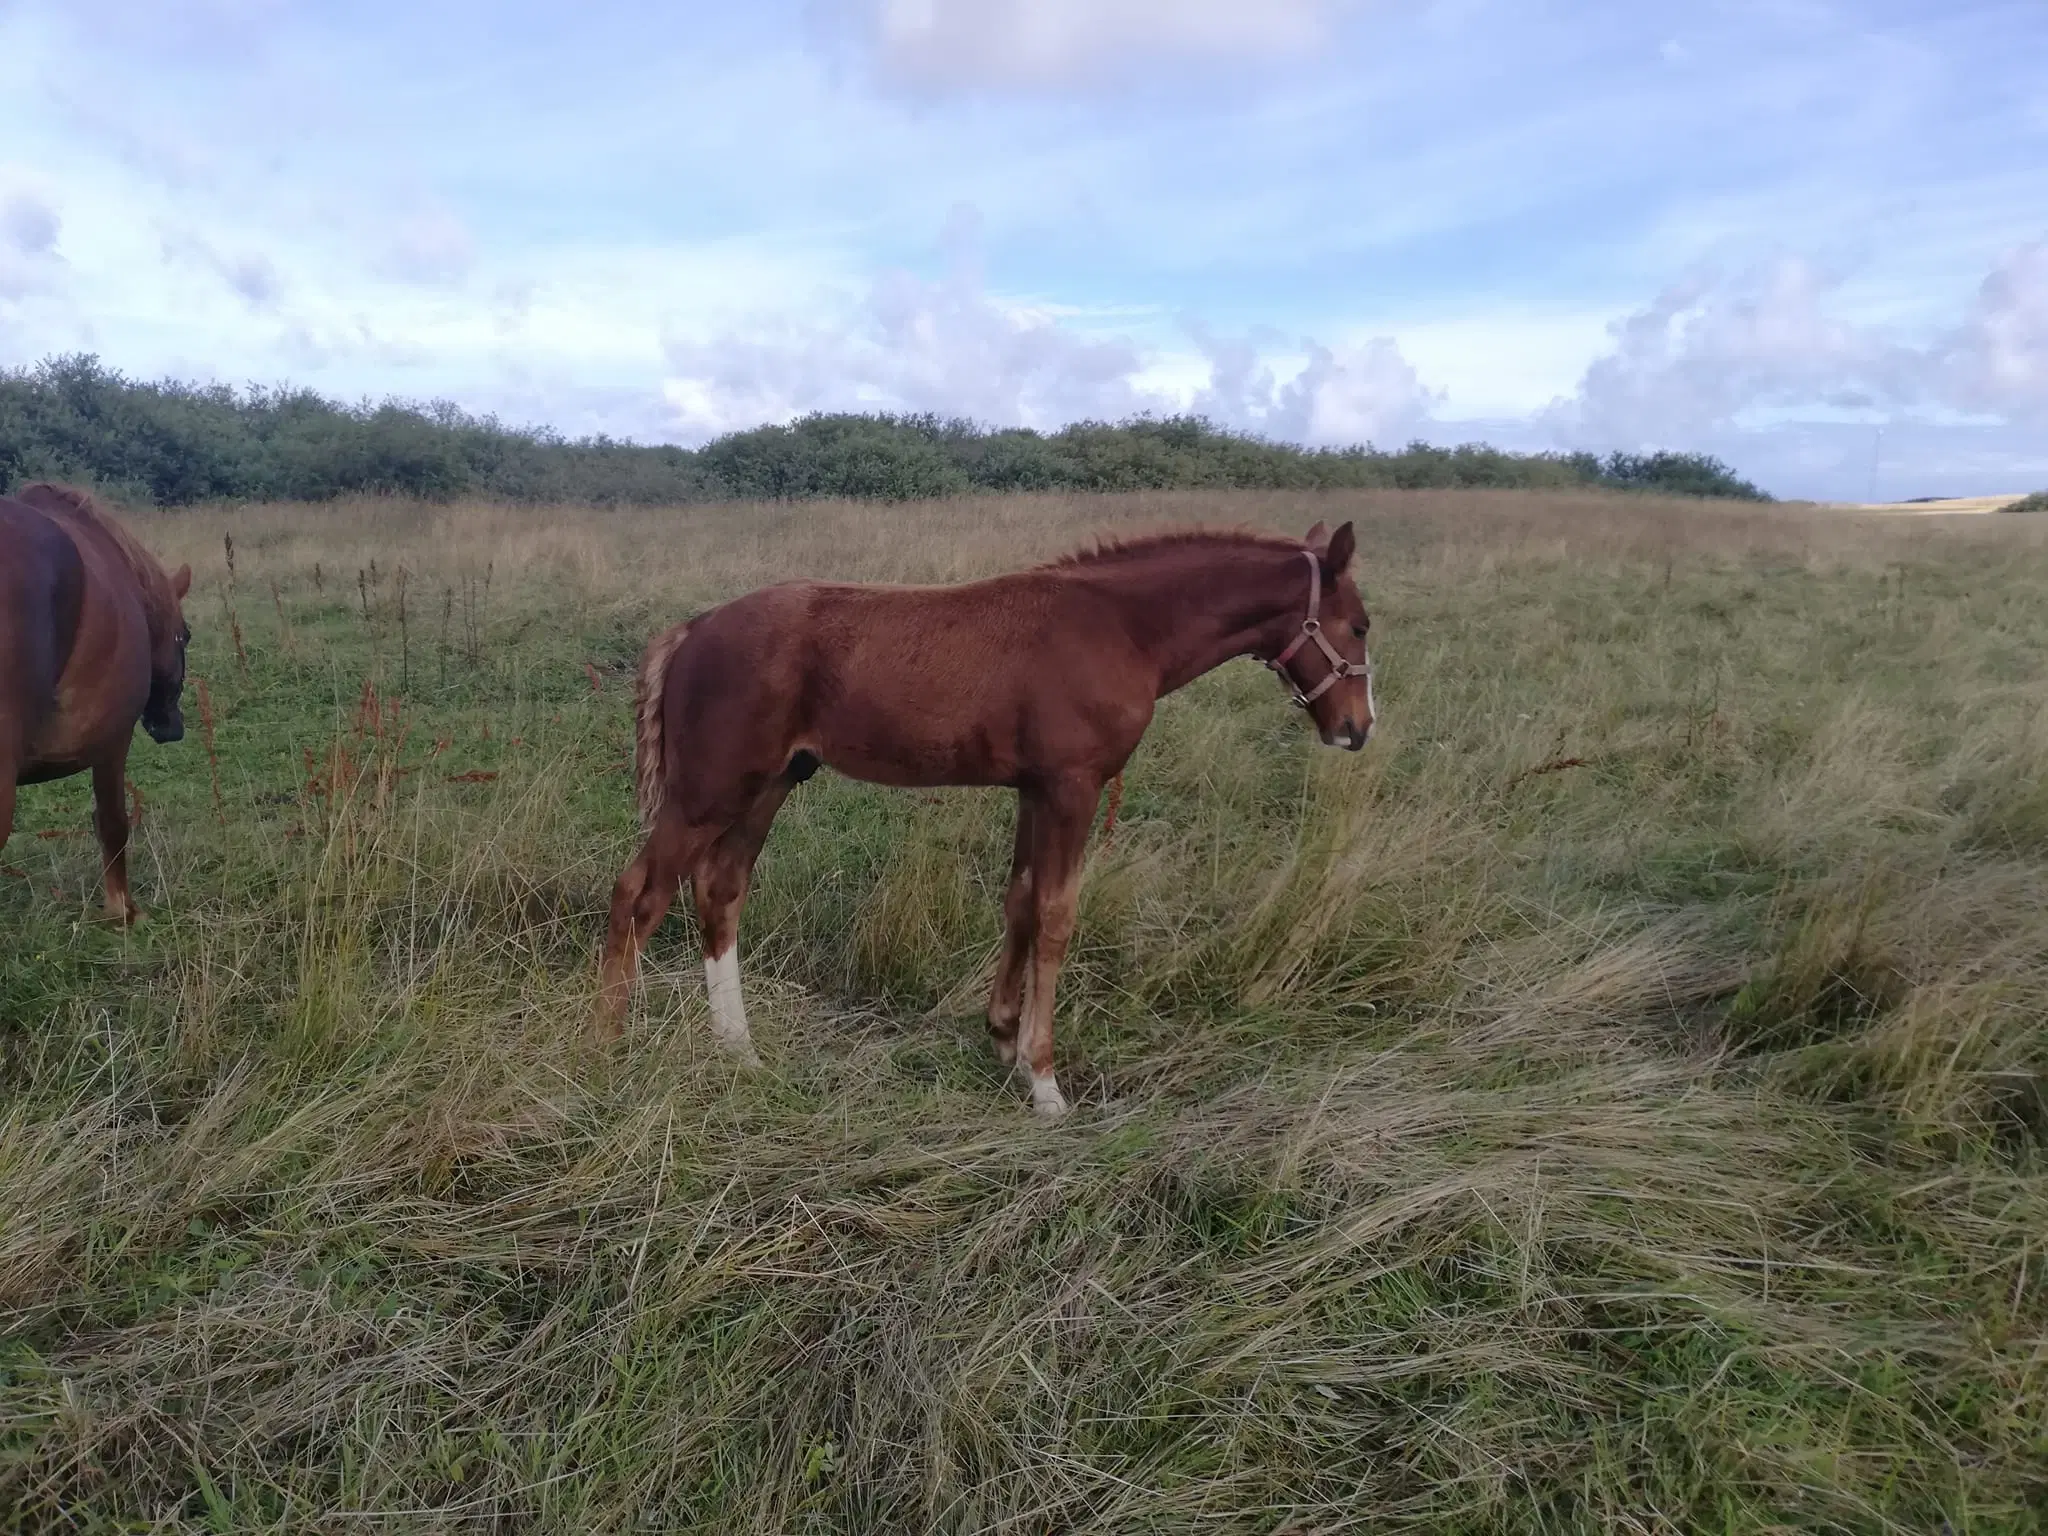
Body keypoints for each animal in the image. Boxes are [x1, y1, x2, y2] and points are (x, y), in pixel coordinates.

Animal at [593, 520, 1376, 1122]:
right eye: (1360, 625)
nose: (1358, 728)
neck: (1121, 627)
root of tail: (692, 629)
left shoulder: (1035, 789)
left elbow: (1021, 902)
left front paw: (1002, 1039)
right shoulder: (1071, 788)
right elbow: (1057, 916)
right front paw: (1045, 1082)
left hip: (770, 784)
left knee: (719, 891)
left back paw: (740, 1051)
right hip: (710, 790)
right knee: (639, 894)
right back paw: (610, 1049)